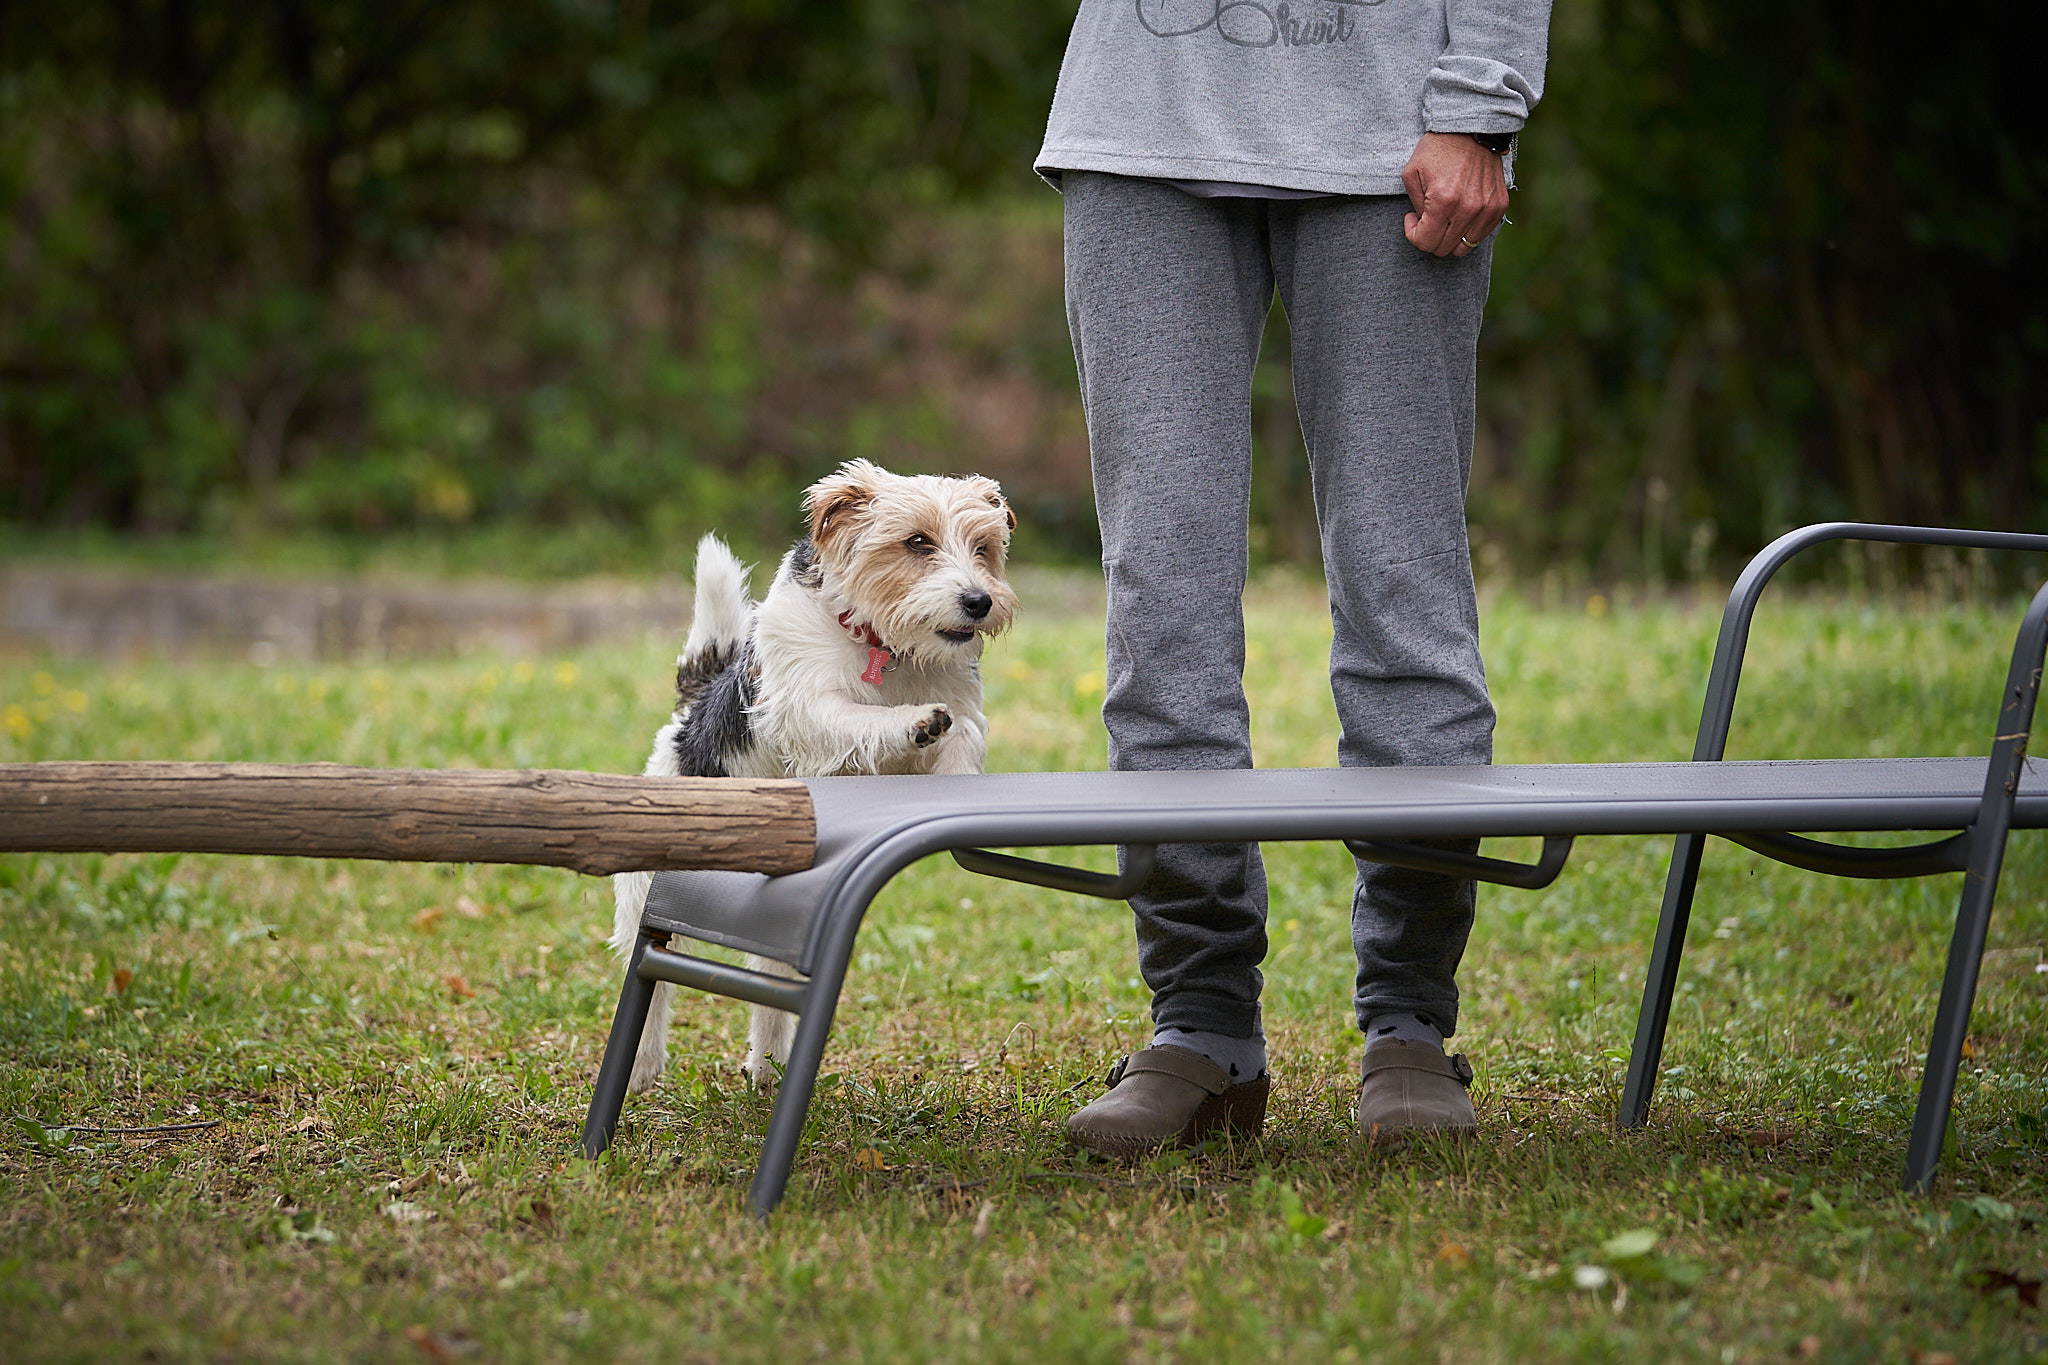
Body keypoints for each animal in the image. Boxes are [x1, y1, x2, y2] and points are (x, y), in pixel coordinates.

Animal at [610, 464, 1019, 1096]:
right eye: (917, 542)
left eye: (984, 547)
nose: (979, 601)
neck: (881, 644)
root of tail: (694, 704)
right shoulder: (808, 711)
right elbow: (861, 719)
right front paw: (912, 722)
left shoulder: (961, 708)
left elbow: (963, 738)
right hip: (645, 892)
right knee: (652, 987)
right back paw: (642, 1069)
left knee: (769, 984)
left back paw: (768, 1066)